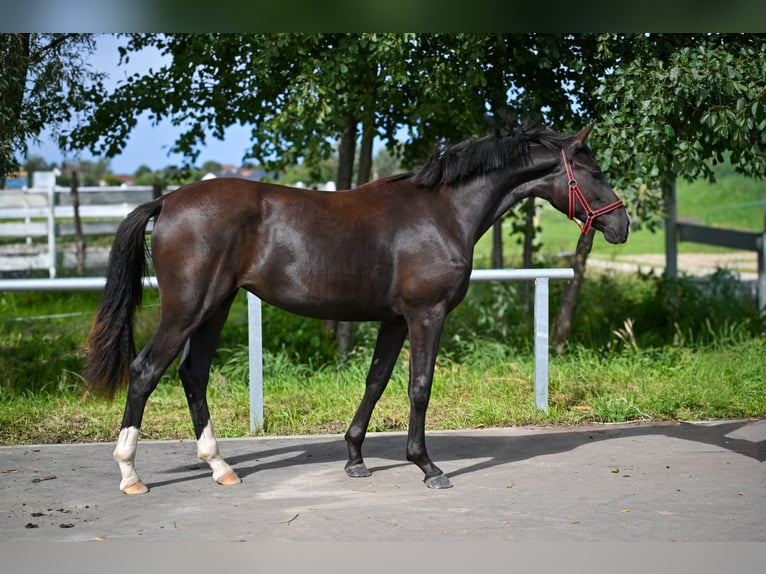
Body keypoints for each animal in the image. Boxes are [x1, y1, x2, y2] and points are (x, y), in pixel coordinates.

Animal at [84, 122, 629, 494]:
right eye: (596, 172)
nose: (620, 225)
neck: (444, 212)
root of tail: (168, 203)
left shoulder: (394, 319)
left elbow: (376, 380)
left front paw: (354, 457)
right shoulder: (426, 315)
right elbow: (419, 386)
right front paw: (427, 466)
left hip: (214, 309)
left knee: (193, 375)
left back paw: (221, 467)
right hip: (187, 311)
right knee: (145, 370)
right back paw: (130, 473)